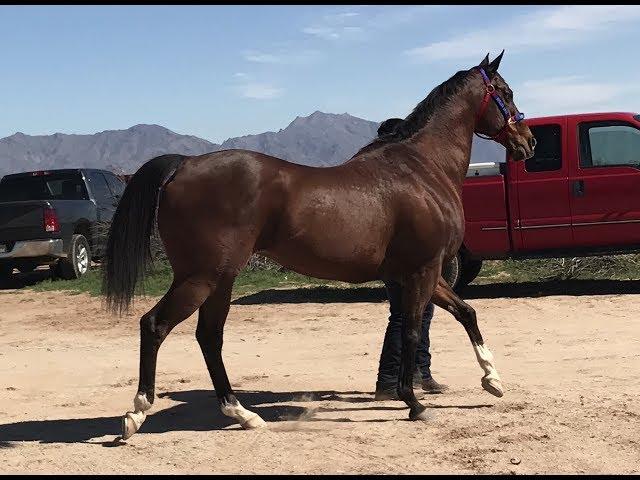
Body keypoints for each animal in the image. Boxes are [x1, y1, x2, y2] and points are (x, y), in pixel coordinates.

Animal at [104, 51, 536, 438]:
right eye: (506, 92)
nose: (528, 142)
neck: (421, 168)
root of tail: (184, 164)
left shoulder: (421, 273)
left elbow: (467, 312)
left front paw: (492, 380)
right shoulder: (423, 270)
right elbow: (413, 331)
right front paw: (413, 402)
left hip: (219, 280)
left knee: (209, 337)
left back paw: (242, 414)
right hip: (200, 278)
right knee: (155, 325)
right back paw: (136, 415)